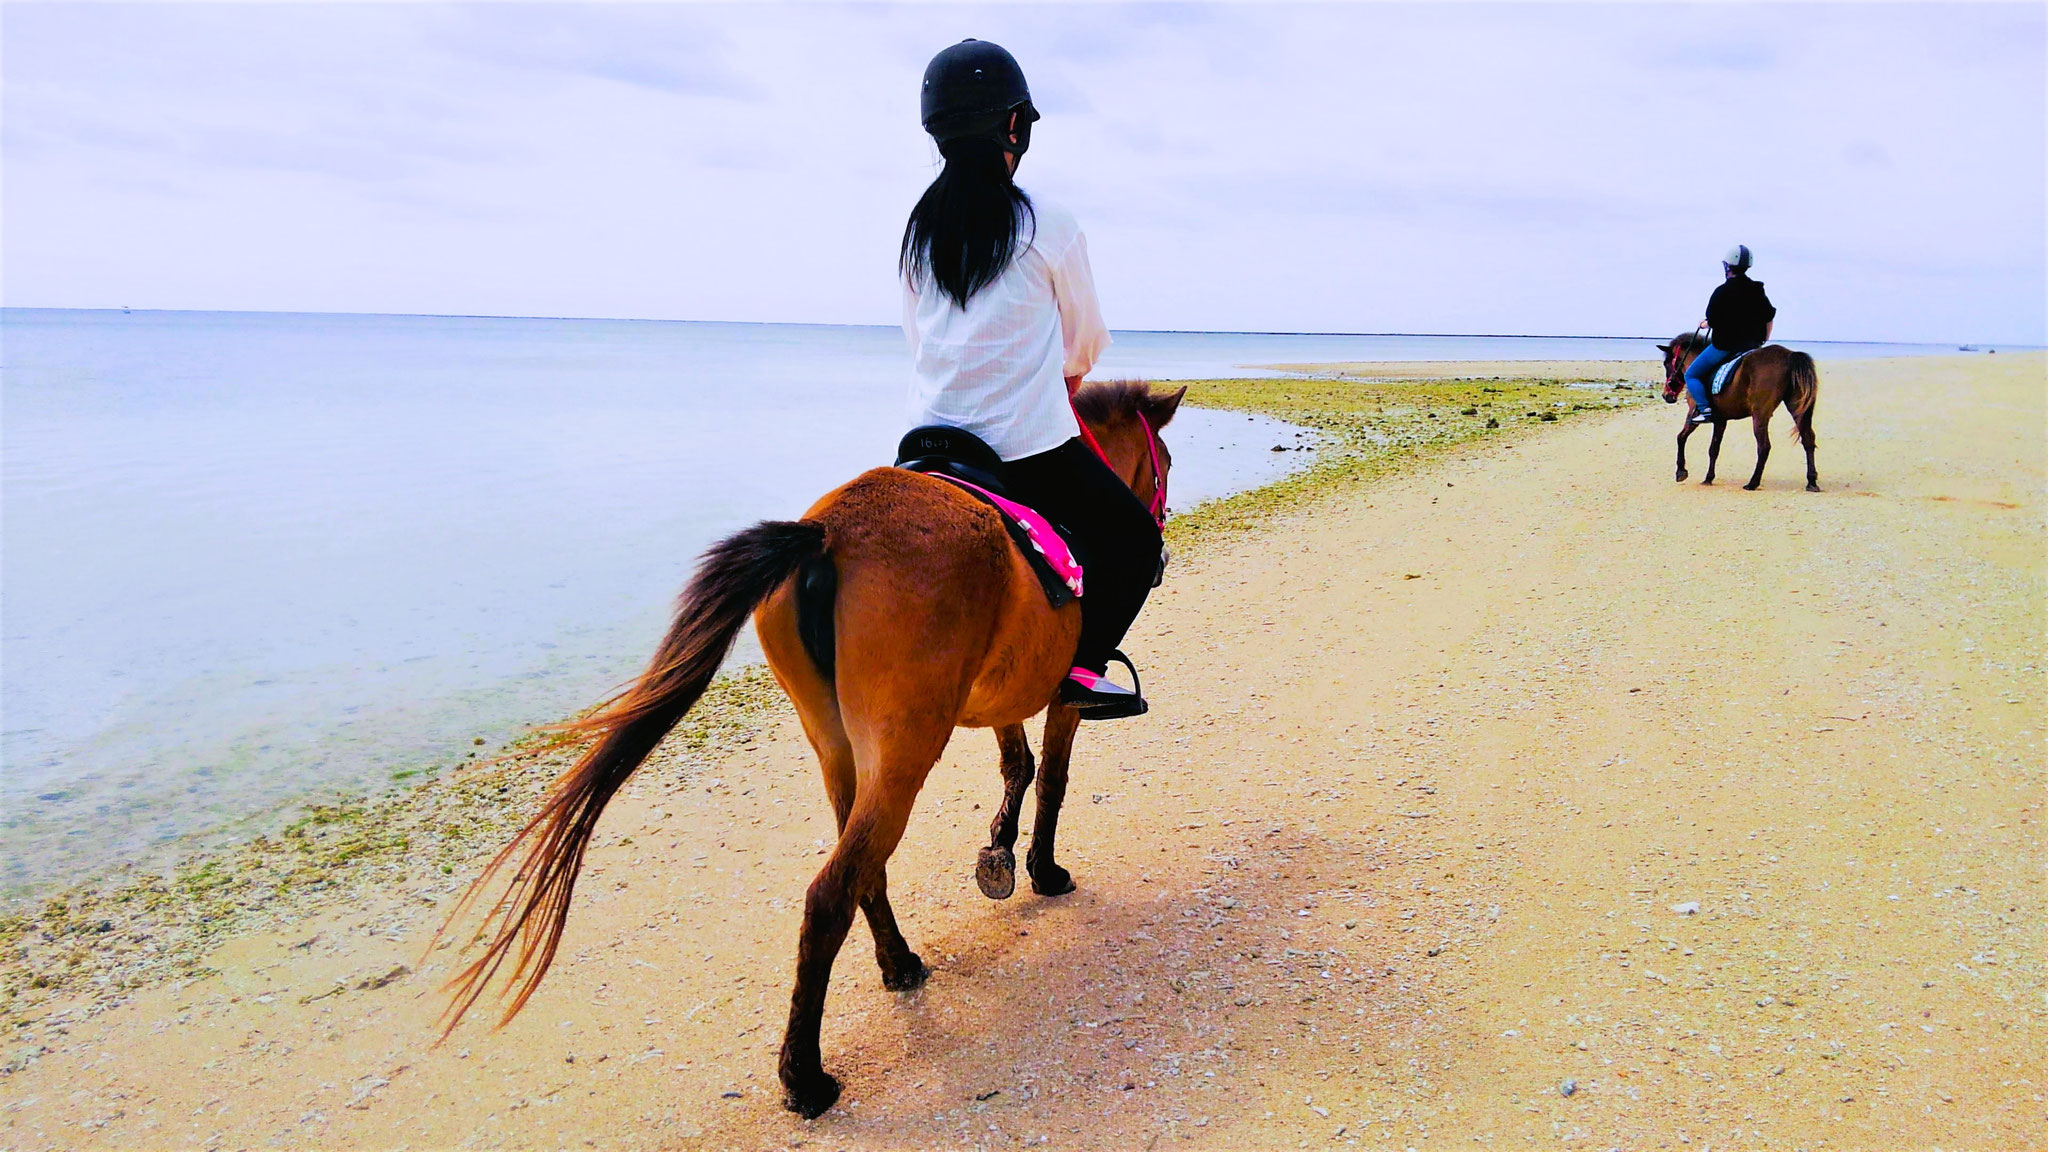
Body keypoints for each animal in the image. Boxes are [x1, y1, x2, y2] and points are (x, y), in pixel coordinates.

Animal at [438, 379, 1186, 1118]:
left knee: (861, 871)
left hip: (840, 747)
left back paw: (897, 965)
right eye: (1168, 463)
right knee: (831, 891)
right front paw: (1042, 870)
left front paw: (1000, 856)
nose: (1161, 537)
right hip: (906, 747)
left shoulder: (1003, 696)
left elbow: (1018, 765)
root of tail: (825, 537)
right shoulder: (1060, 695)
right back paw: (805, 1075)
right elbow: (1052, 775)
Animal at [1657, 332, 1821, 492]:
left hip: (1760, 415)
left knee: (1764, 447)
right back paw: (1811, 482)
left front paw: (1681, 472)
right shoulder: (1720, 421)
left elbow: (1681, 437)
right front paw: (1708, 478)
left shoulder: (1694, 415)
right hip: (1798, 409)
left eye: (1666, 364)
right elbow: (1713, 449)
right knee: (1808, 439)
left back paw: (1753, 483)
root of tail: (1789, 355)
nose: (1666, 396)